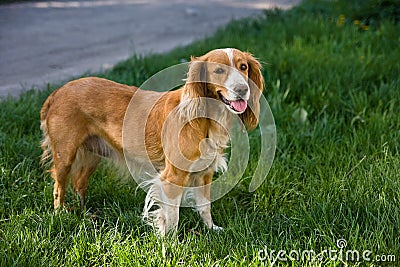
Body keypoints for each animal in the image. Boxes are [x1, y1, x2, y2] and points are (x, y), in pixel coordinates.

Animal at [40, 48, 264, 237]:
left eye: (243, 67)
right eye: (218, 70)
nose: (242, 89)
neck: (204, 117)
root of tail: (58, 91)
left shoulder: (204, 174)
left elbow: (205, 207)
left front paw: (211, 229)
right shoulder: (172, 177)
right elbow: (172, 217)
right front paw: (172, 244)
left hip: (93, 154)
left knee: (79, 184)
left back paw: (85, 213)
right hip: (65, 155)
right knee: (59, 188)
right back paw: (61, 216)